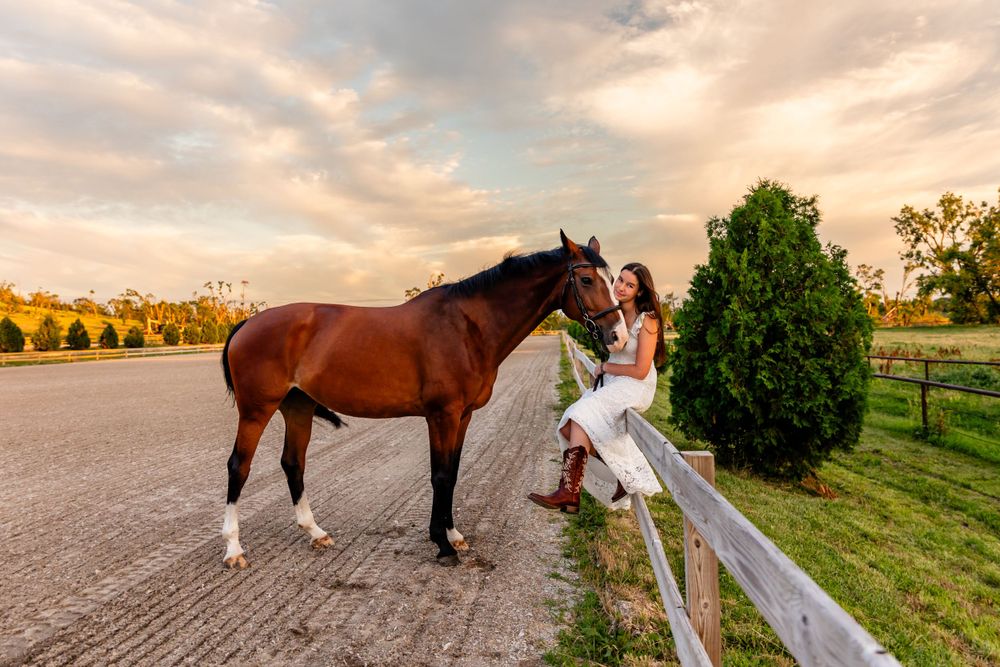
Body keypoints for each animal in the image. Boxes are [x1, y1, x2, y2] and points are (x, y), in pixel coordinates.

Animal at [220, 231, 628, 568]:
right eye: (587, 280)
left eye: (613, 282)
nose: (618, 337)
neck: (467, 327)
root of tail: (248, 323)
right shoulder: (442, 415)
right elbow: (441, 474)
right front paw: (442, 545)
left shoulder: (463, 416)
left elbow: (454, 472)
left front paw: (453, 535)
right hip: (257, 410)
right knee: (239, 466)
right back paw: (234, 549)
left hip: (298, 406)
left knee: (293, 463)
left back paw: (315, 532)